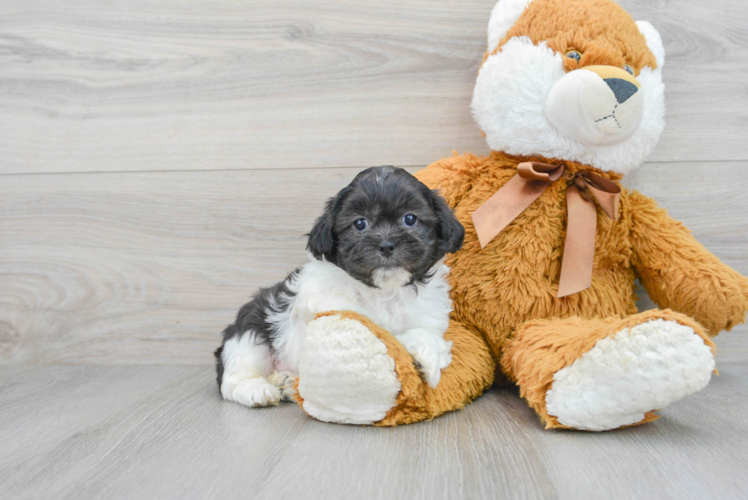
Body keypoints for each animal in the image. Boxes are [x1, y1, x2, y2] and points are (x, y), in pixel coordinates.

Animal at [213, 166, 464, 408]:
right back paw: (258, 389)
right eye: (360, 223)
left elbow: (425, 334)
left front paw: (425, 359)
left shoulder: (428, 318)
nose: (386, 244)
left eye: (410, 219)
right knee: (232, 379)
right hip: (250, 332)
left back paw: (286, 382)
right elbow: (372, 329)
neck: (384, 292)